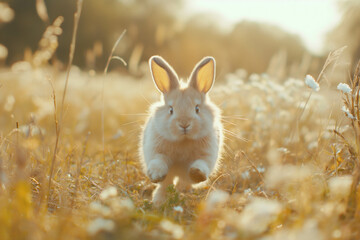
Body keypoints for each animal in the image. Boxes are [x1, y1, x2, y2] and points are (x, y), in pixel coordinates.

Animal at [140, 55, 222, 205]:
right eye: (171, 110)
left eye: (197, 108)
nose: (184, 124)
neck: (184, 140)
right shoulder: (157, 151)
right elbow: (159, 162)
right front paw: (155, 175)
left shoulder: (207, 154)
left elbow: (202, 163)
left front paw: (197, 173)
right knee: (165, 185)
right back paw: (158, 202)